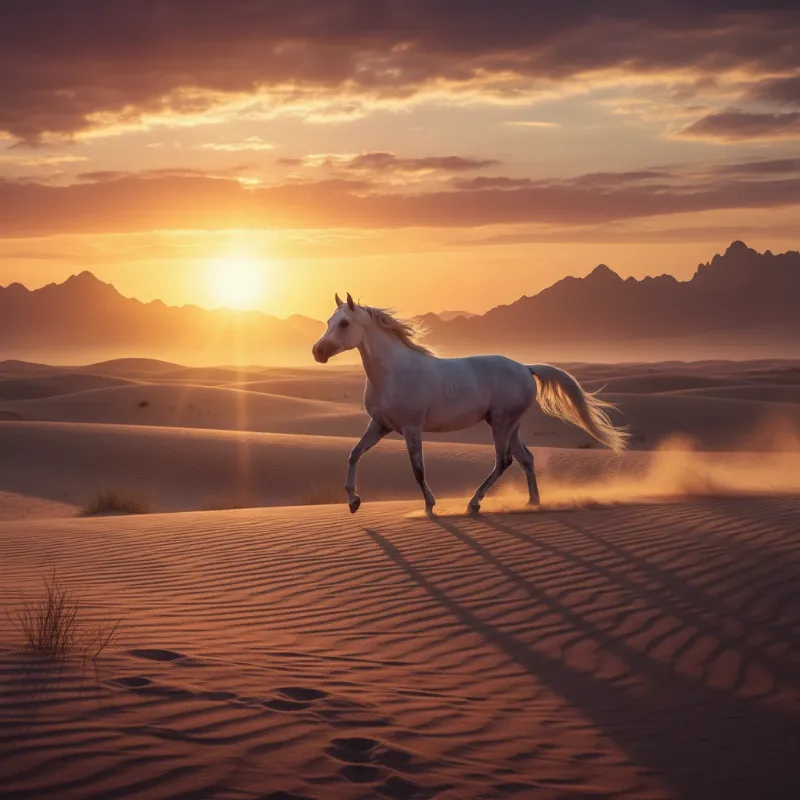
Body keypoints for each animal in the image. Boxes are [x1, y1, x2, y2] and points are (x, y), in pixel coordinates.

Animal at [312, 293, 628, 514]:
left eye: (344, 323)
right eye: (328, 322)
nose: (318, 351)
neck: (392, 373)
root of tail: (526, 368)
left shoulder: (411, 428)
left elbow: (418, 469)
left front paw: (430, 506)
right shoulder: (380, 425)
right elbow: (354, 454)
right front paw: (353, 501)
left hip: (501, 423)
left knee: (504, 461)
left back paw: (475, 503)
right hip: (510, 425)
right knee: (526, 458)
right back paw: (532, 502)